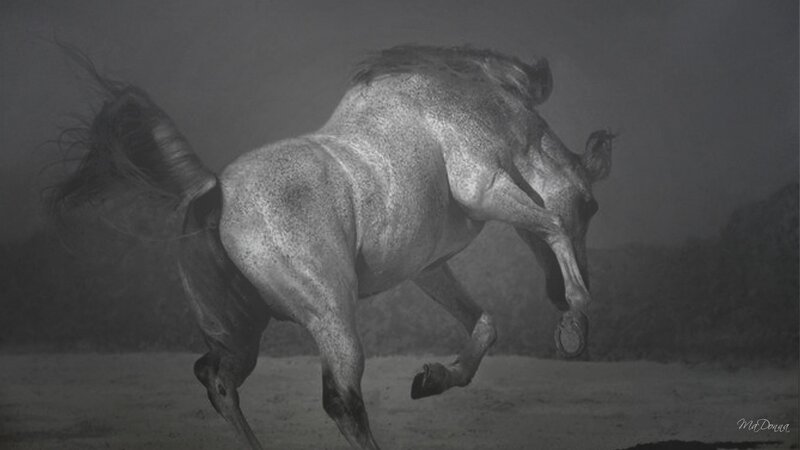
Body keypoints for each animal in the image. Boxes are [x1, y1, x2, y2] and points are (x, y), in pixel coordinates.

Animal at [48, 44, 614, 449]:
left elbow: (485, 323)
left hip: (240, 331)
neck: (480, 104)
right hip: (330, 318)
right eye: (591, 206)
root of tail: (211, 192)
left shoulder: (428, 267)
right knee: (341, 402)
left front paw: (432, 378)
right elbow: (551, 226)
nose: (555, 295)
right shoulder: (486, 187)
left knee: (216, 379)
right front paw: (574, 325)